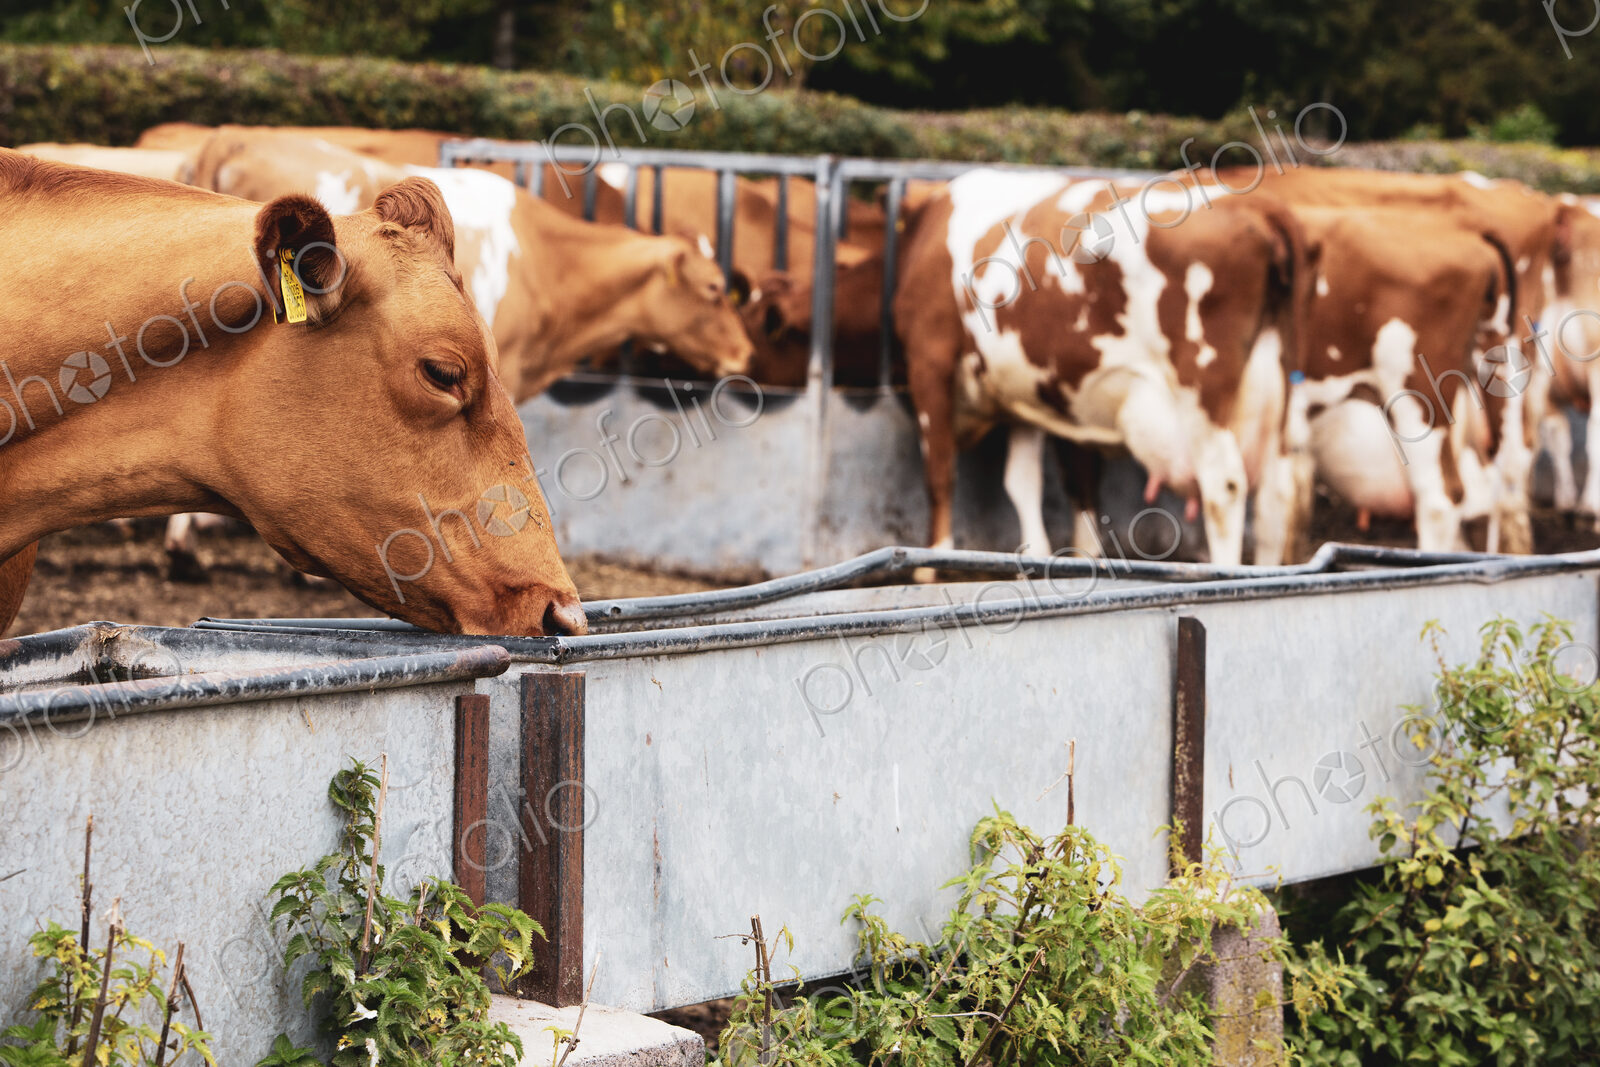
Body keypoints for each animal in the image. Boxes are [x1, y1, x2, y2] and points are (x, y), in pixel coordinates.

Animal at [894, 170, 1310, 571]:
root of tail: (1259, 206)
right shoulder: (1025, 397)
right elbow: (1032, 484)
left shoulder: (929, 362)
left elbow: (939, 476)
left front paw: (927, 571)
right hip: (1275, 389)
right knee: (1276, 495)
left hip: (1201, 387)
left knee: (1224, 485)